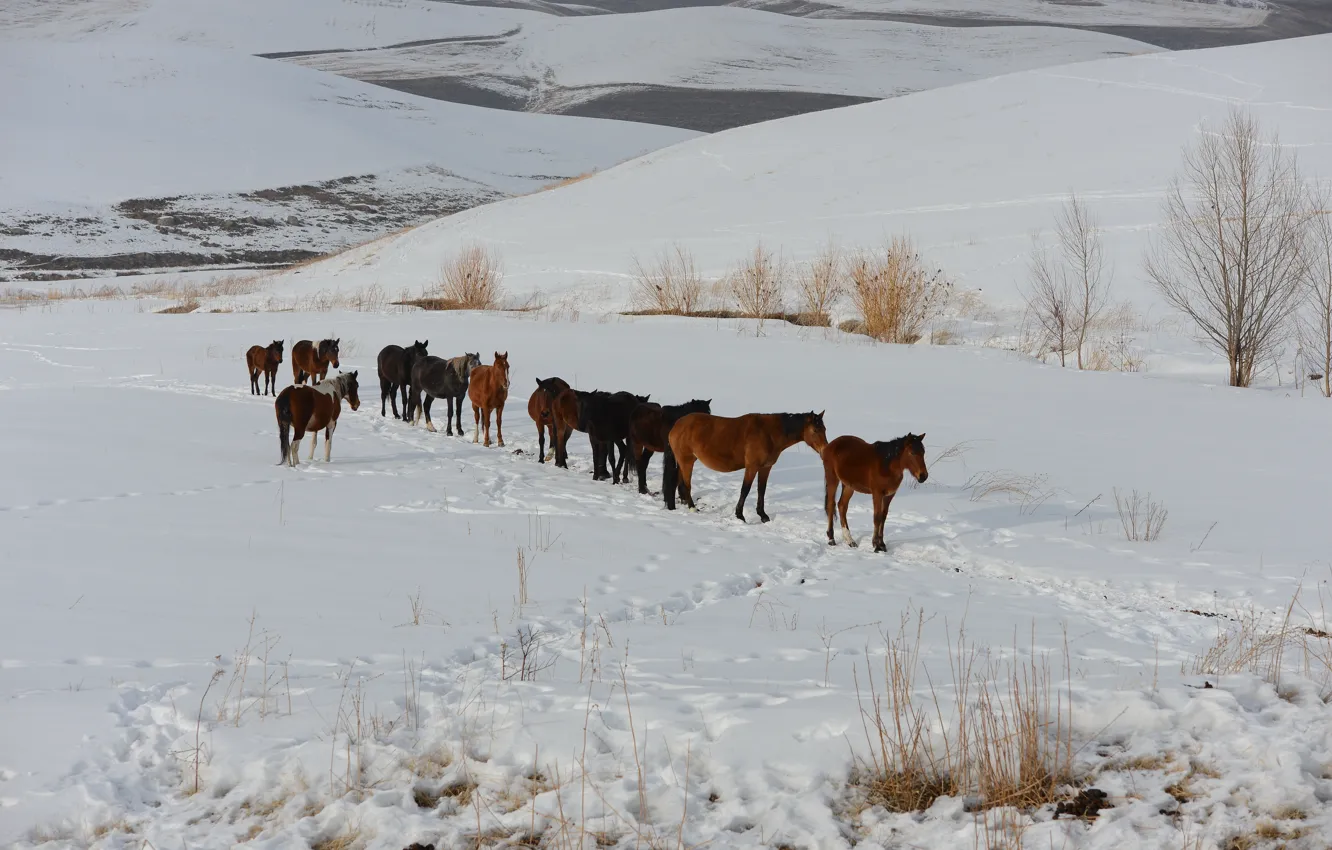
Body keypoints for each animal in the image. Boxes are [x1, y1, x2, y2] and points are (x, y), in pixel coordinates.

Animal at [663, 411, 827, 523]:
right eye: (815, 430)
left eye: (824, 429)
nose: (825, 450)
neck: (769, 433)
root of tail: (676, 425)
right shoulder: (752, 467)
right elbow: (745, 489)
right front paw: (740, 515)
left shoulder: (765, 468)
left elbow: (761, 490)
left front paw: (763, 515)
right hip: (687, 461)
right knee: (686, 485)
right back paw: (692, 507)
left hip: (684, 462)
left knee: (678, 483)